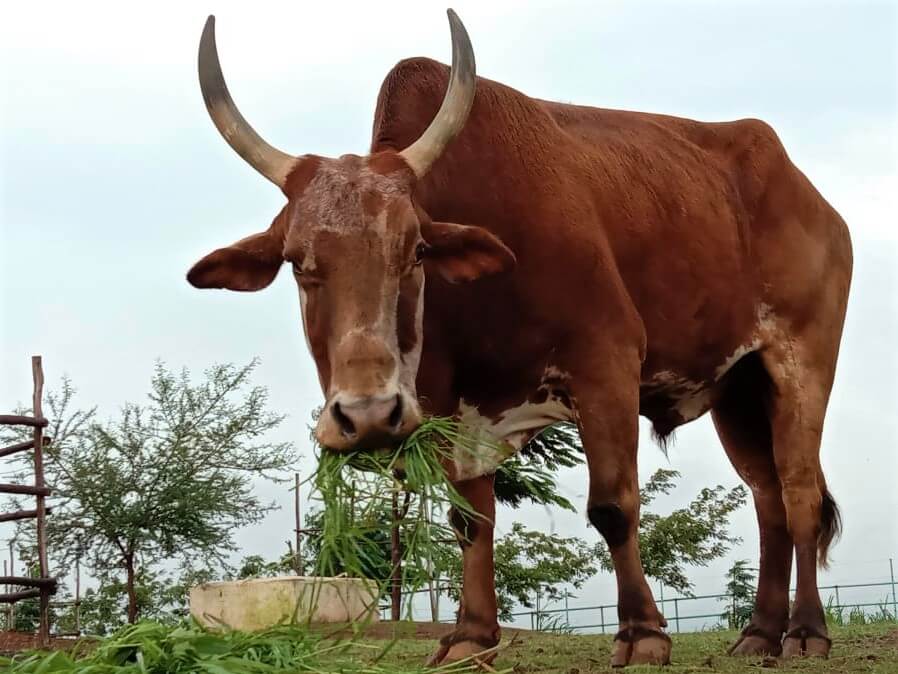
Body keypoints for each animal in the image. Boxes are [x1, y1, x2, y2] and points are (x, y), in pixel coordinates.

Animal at [187, 10, 848, 668]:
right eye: (297, 262)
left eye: (416, 251)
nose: (368, 415)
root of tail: (813, 199)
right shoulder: (448, 409)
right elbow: (469, 520)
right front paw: (472, 634)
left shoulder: (606, 363)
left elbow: (613, 505)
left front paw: (642, 633)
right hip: (738, 388)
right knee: (767, 501)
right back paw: (760, 632)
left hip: (802, 363)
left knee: (798, 495)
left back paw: (804, 631)